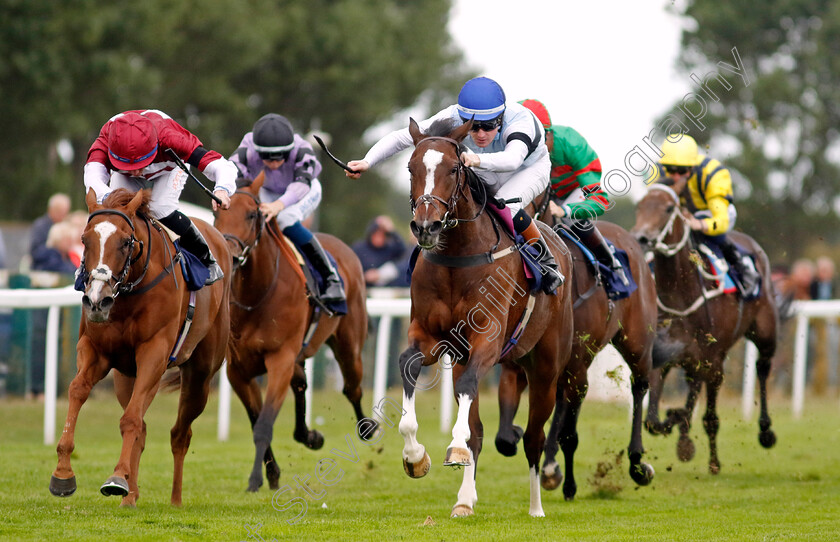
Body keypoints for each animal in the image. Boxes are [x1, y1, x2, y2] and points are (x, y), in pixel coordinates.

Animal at [50, 189, 231, 508]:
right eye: (84, 239)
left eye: (125, 242)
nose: (97, 300)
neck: (129, 293)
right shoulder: (95, 349)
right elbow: (78, 390)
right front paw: (63, 472)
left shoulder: (154, 352)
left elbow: (131, 419)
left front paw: (116, 478)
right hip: (126, 376)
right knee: (143, 428)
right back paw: (131, 495)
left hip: (199, 375)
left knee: (179, 434)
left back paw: (174, 499)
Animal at [217, 173, 370, 492]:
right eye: (217, 211)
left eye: (252, 214)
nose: (231, 256)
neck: (258, 293)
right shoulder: (238, 370)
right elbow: (256, 419)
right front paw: (271, 473)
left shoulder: (280, 359)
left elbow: (264, 423)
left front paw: (256, 479)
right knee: (301, 384)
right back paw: (310, 436)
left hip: (349, 346)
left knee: (352, 388)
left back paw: (367, 428)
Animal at [398, 119, 572, 520]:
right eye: (411, 168)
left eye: (453, 169)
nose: (426, 226)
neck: (457, 257)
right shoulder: (431, 337)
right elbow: (408, 365)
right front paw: (415, 456)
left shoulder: (488, 339)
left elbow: (469, 402)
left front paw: (454, 447)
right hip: (466, 359)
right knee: (477, 426)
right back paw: (464, 500)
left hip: (545, 369)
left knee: (535, 437)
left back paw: (536, 507)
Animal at [496, 209, 660, 502]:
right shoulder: (517, 365)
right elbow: (504, 437)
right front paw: (516, 435)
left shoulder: (577, 367)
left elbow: (569, 435)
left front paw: (570, 486)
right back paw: (550, 465)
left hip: (637, 343)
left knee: (640, 385)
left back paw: (637, 463)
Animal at [632, 185, 776, 474]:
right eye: (639, 205)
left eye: (668, 208)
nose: (641, 237)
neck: (680, 294)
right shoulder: (664, 355)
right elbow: (653, 420)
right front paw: (678, 426)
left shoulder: (712, 360)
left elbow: (708, 416)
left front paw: (711, 461)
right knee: (693, 387)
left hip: (765, 333)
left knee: (763, 367)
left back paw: (765, 431)